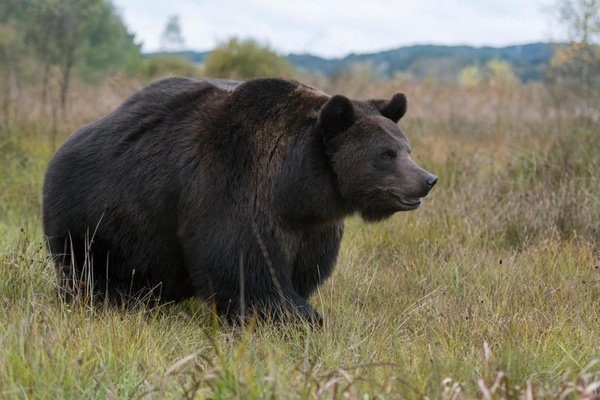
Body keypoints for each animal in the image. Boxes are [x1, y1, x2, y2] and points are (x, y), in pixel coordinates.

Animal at [42, 76, 436, 324]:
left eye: (406, 148)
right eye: (386, 154)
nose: (426, 180)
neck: (296, 189)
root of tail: (63, 147)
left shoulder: (312, 230)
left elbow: (302, 271)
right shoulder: (236, 190)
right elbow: (247, 270)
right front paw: (299, 318)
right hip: (105, 214)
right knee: (96, 271)